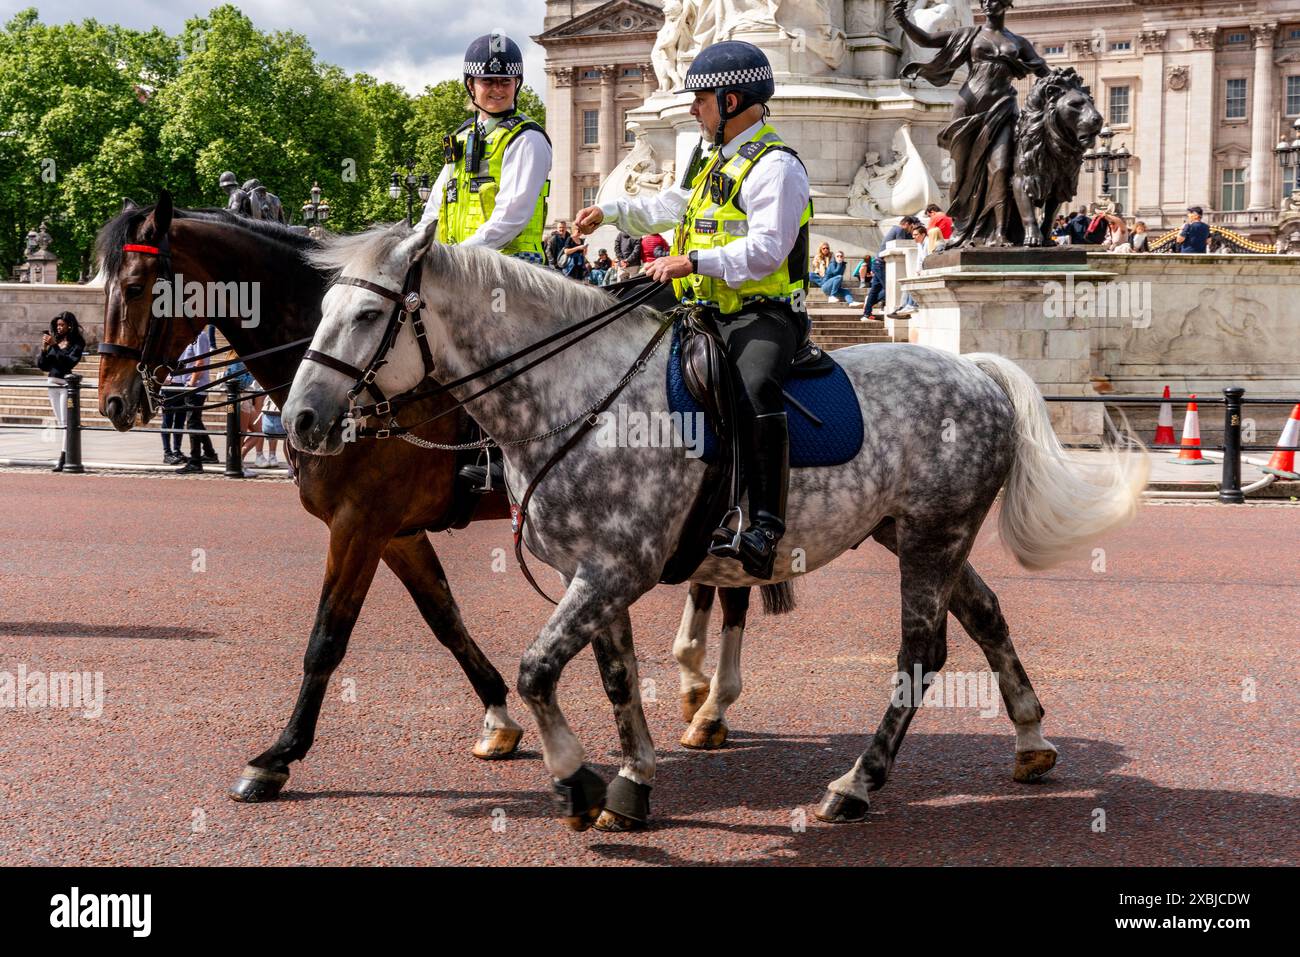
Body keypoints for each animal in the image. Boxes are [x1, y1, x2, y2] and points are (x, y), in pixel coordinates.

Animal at [282, 222, 1149, 832]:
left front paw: (577, 779)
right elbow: (613, 676)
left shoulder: (614, 567)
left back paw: (856, 784)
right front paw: (631, 780)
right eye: (318, 310)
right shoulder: (588, 571)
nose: (299, 420)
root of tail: (977, 367)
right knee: (984, 615)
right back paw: (1030, 740)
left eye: (368, 313)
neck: (577, 395)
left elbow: (534, 670)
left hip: (933, 535)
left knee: (920, 653)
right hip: (914, 531)